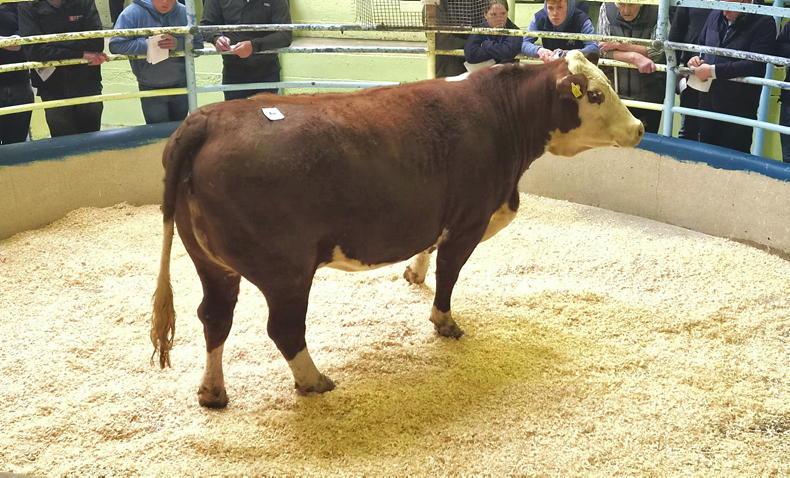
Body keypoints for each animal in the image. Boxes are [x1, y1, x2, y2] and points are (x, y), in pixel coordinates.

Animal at [150, 50, 644, 408]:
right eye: (594, 94)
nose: (640, 127)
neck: (502, 114)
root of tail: (208, 118)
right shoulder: (469, 220)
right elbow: (450, 274)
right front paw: (444, 322)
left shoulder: (438, 215)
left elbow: (429, 249)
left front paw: (413, 273)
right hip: (285, 271)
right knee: (283, 329)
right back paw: (313, 380)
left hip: (212, 263)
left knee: (215, 317)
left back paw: (213, 392)